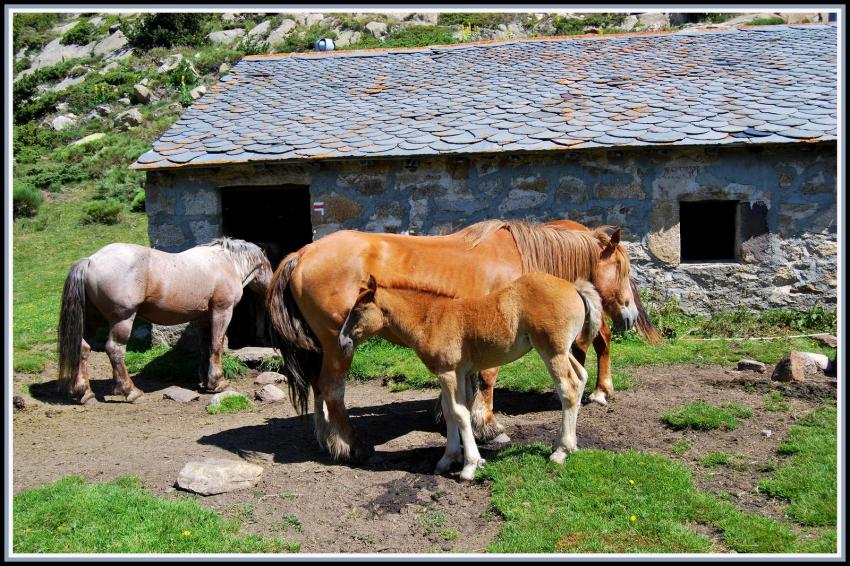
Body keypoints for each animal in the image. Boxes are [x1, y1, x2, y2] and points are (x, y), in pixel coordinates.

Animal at [57, 237, 274, 405]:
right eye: (270, 265)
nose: (270, 289)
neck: (226, 263)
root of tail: (91, 260)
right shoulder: (222, 311)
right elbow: (216, 345)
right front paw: (218, 382)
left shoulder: (203, 317)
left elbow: (205, 347)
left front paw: (205, 380)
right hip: (122, 318)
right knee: (115, 350)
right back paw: (131, 391)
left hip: (93, 319)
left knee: (83, 348)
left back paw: (85, 393)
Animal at [338, 272, 603, 480]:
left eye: (358, 310)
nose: (342, 341)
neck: (430, 319)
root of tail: (574, 287)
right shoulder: (458, 373)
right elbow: (450, 412)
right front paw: (449, 459)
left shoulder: (448, 372)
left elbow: (459, 413)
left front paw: (470, 466)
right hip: (563, 351)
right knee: (581, 378)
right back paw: (565, 444)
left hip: (552, 351)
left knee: (568, 388)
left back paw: (561, 451)